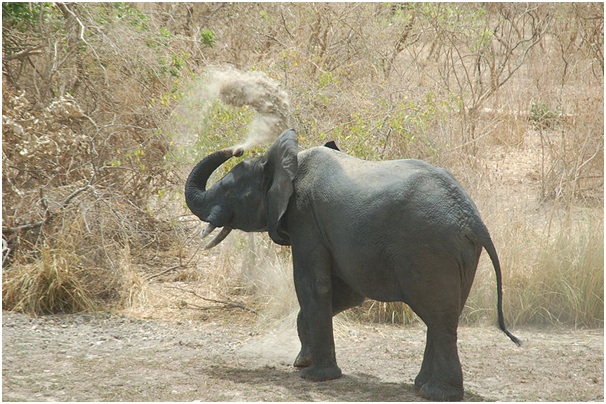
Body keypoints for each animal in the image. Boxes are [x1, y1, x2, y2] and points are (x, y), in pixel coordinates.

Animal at [186, 129, 524, 400]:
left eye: (228, 190)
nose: (238, 148)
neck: (291, 160)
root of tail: (473, 219)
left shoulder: (305, 218)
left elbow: (313, 286)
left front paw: (313, 375)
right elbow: (348, 295)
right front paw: (302, 361)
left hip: (432, 249)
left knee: (439, 318)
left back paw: (436, 394)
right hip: (461, 254)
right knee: (443, 316)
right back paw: (420, 386)